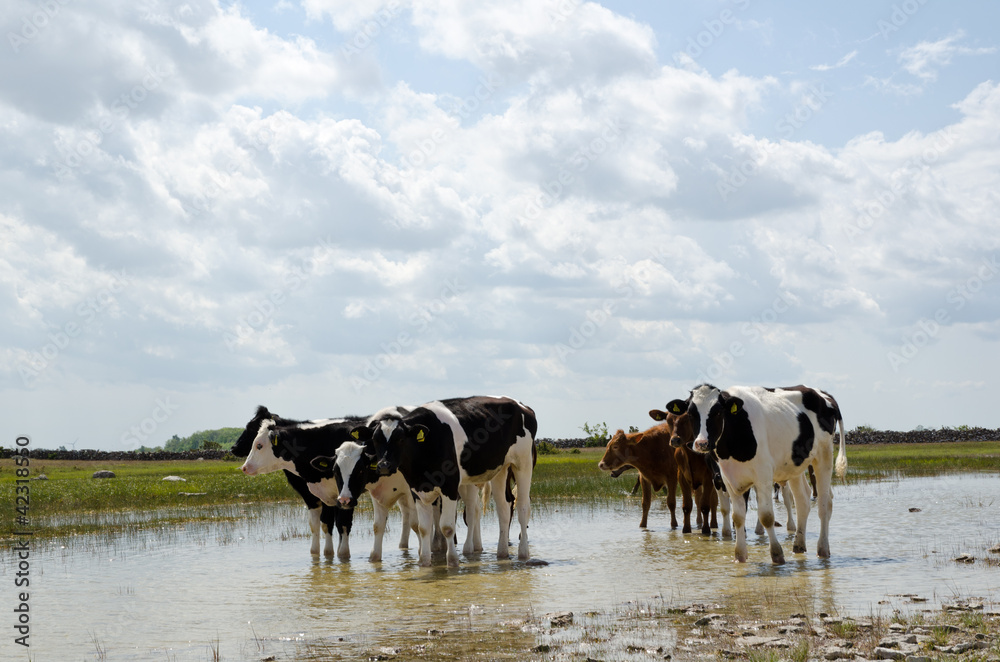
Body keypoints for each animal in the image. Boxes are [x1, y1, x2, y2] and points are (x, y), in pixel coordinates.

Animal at [357, 396, 538, 567]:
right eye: (375, 440)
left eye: (400, 439)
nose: (384, 465)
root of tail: (522, 405)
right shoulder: (416, 489)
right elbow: (424, 528)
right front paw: (424, 563)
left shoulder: (449, 486)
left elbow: (447, 527)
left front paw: (452, 561)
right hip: (500, 469)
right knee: (504, 509)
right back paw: (502, 554)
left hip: (523, 464)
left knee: (522, 507)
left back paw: (523, 554)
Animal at [664, 384, 847, 564]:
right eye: (690, 413)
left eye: (717, 411)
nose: (702, 443)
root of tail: (821, 393)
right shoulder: (727, 479)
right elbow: (737, 516)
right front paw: (740, 556)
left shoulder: (763, 475)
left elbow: (766, 516)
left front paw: (777, 554)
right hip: (796, 465)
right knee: (803, 500)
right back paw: (798, 546)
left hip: (824, 454)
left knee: (824, 504)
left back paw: (822, 549)